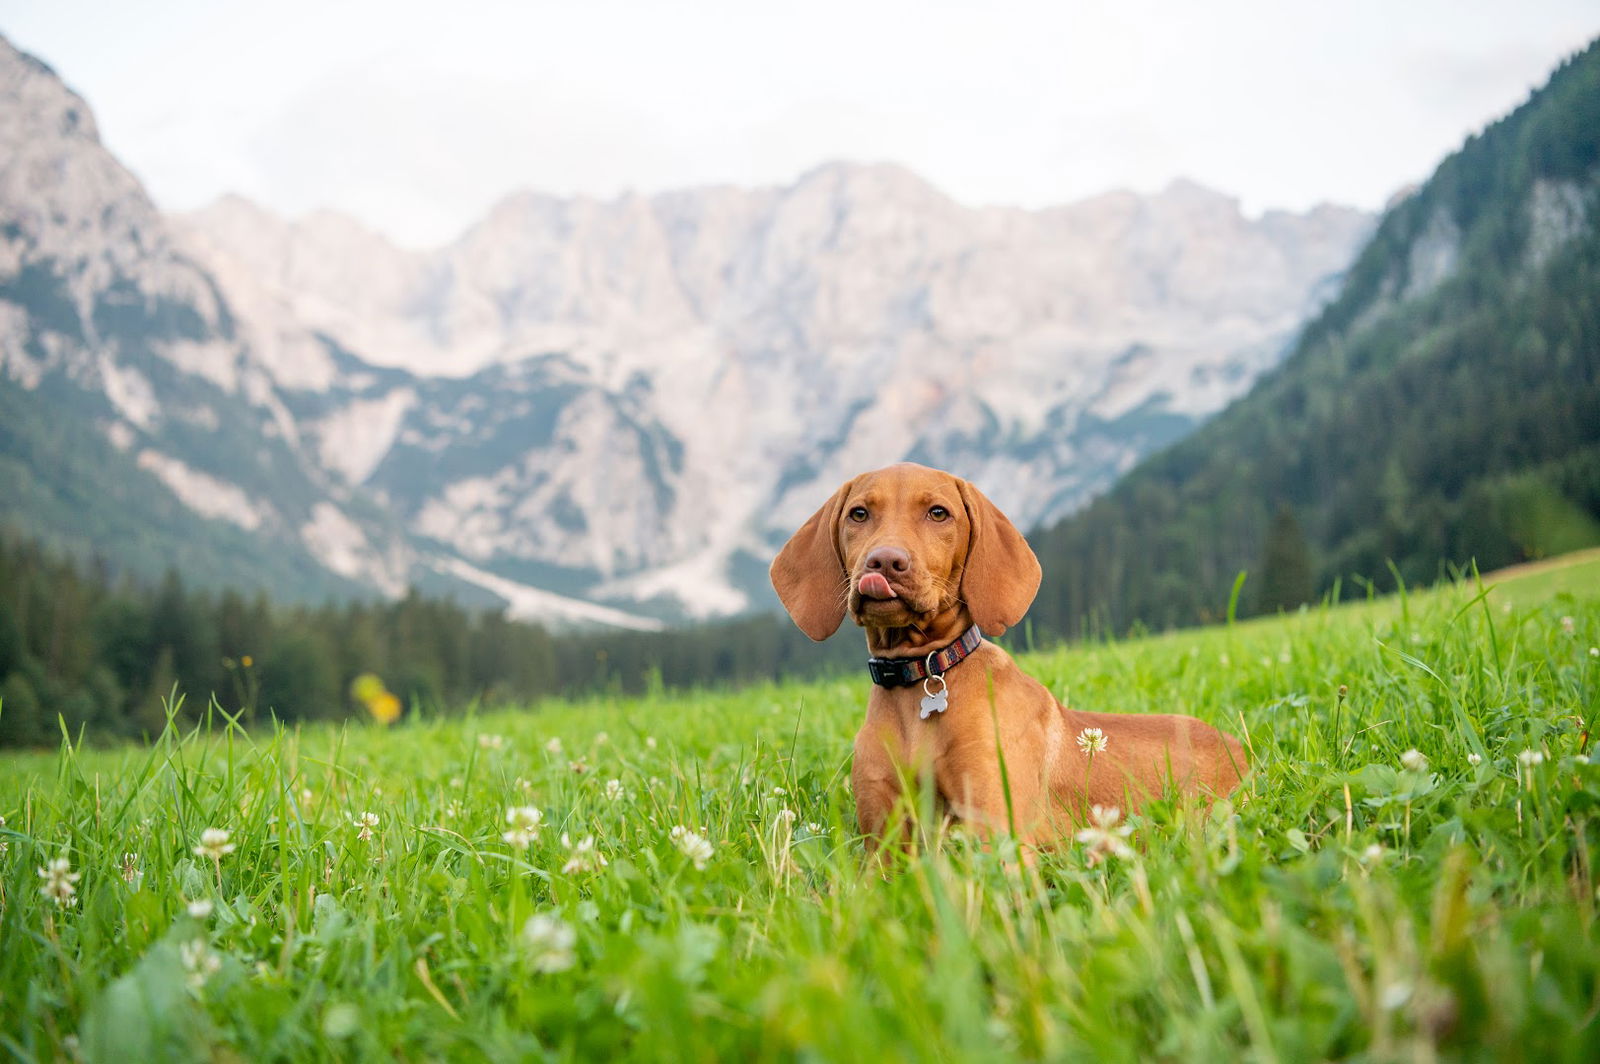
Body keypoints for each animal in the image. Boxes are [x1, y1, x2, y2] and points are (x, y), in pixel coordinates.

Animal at [768, 460, 1241, 851]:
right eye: (859, 514)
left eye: (938, 513)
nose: (883, 562)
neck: (921, 679)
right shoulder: (881, 842)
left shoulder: (997, 828)